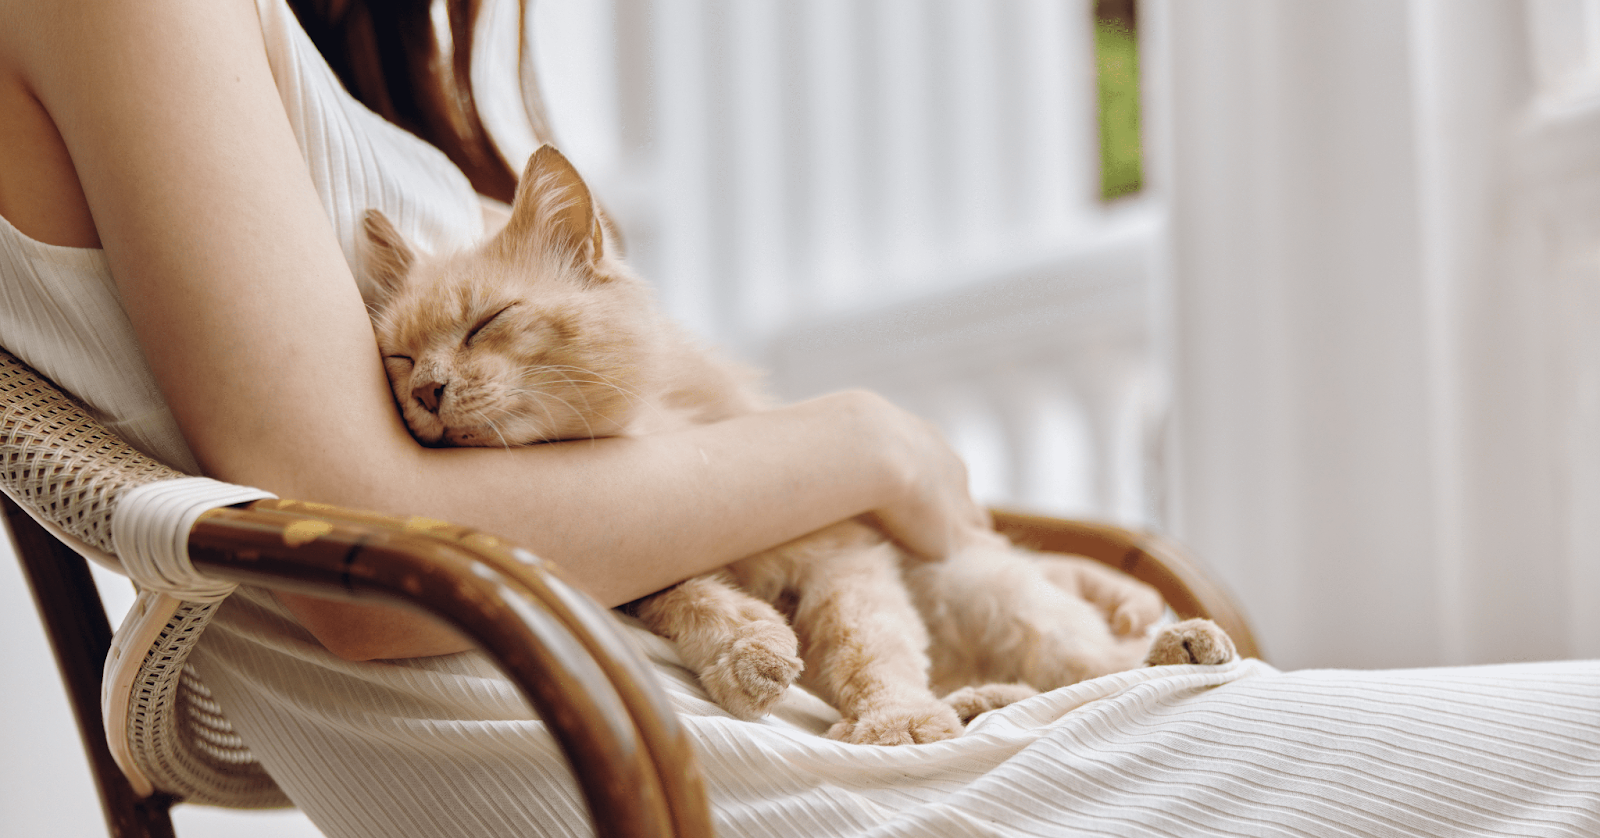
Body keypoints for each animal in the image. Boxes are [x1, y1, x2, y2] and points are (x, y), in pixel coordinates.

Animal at [363, 143, 1235, 745]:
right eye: (399, 358)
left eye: (485, 323)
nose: (426, 392)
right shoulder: (636, 576)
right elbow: (693, 595)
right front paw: (748, 652)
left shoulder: (844, 551)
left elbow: (865, 645)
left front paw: (893, 720)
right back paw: (977, 702)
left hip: (981, 589)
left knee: (1090, 664)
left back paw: (1173, 648)